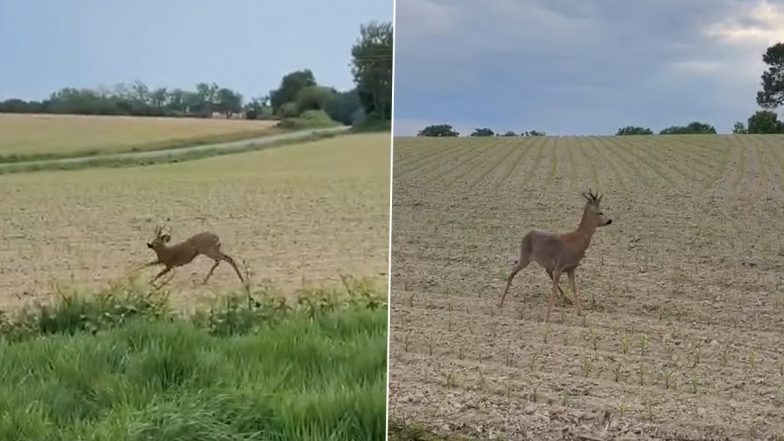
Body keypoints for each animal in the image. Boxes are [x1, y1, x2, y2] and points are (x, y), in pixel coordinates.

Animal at [498, 190, 612, 323]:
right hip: (525, 256)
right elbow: (553, 290)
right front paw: (546, 317)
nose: (610, 220)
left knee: (544, 272)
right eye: (600, 212)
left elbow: (574, 288)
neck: (577, 241)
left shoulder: (571, 268)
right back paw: (501, 302)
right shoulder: (560, 265)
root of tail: (526, 234)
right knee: (513, 272)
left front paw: (580, 313)